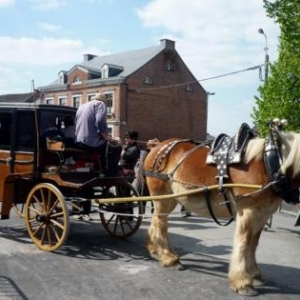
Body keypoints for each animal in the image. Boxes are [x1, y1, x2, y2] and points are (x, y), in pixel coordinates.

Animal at [142, 121, 300, 296]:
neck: (270, 163)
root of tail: (157, 146)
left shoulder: (263, 214)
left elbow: (253, 244)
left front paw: (253, 274)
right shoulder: (248, 212)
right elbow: (244, 243)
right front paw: (242, 282)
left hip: (170, 199)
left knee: (157, 221)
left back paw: (155, 250)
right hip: (163, 197)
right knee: (161, 224)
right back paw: (168, 258)